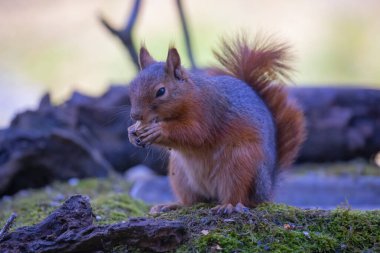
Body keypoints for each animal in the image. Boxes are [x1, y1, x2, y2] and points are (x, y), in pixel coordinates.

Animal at [127, 35, 306, 213]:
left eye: (161, 91)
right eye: (132, 86)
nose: (135, 115)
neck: (189, 95)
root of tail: (267, 191)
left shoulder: (207, 113)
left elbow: (195, 134)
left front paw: (158, 130)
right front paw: (132, 132)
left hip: (239, 164)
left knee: (238, 194)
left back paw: (229, 205)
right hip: (179, 175)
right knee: (192, 201)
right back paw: (172, 205)